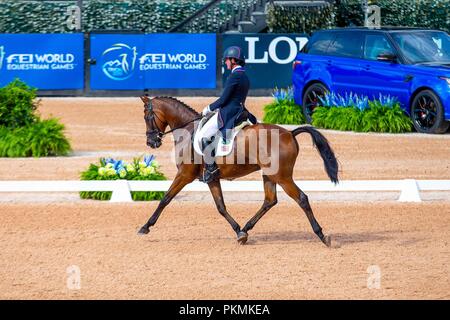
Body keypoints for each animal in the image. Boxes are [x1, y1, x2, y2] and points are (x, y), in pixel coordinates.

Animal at [137, 96, 338, 246]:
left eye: (147, 116)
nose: (151, 142)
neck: (187, 130)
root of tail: (290, 133)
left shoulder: (184, 175)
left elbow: (165, 199)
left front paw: (145, 227)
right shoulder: (211, 179)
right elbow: (221, 207)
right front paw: (239, 232)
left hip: (282, 177)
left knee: (301, 198)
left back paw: (321, 235)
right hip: (269, 175)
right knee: (270, 200)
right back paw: (246, 228)